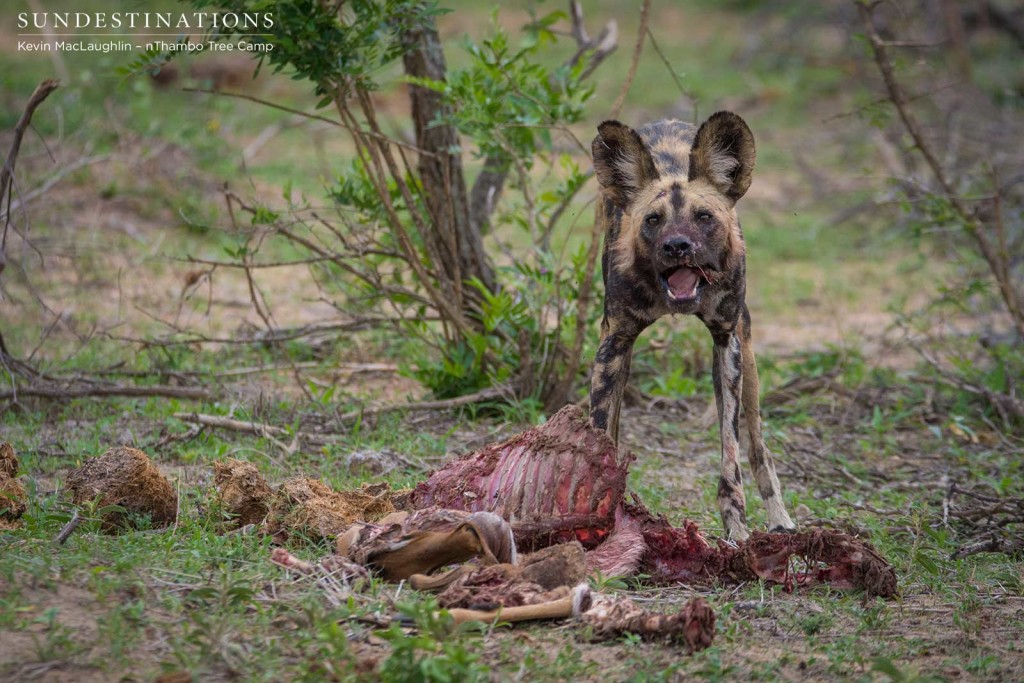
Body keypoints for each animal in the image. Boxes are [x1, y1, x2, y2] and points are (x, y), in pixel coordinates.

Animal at [589, 111, 794, 540]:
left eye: (703, 217)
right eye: (653, 220)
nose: (678, 246)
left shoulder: (726, 343)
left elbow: (731, 455)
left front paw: (738, 532)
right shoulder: (613, 344)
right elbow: (599, 435)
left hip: (748, 360)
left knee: (758, 447)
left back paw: (779, 518)